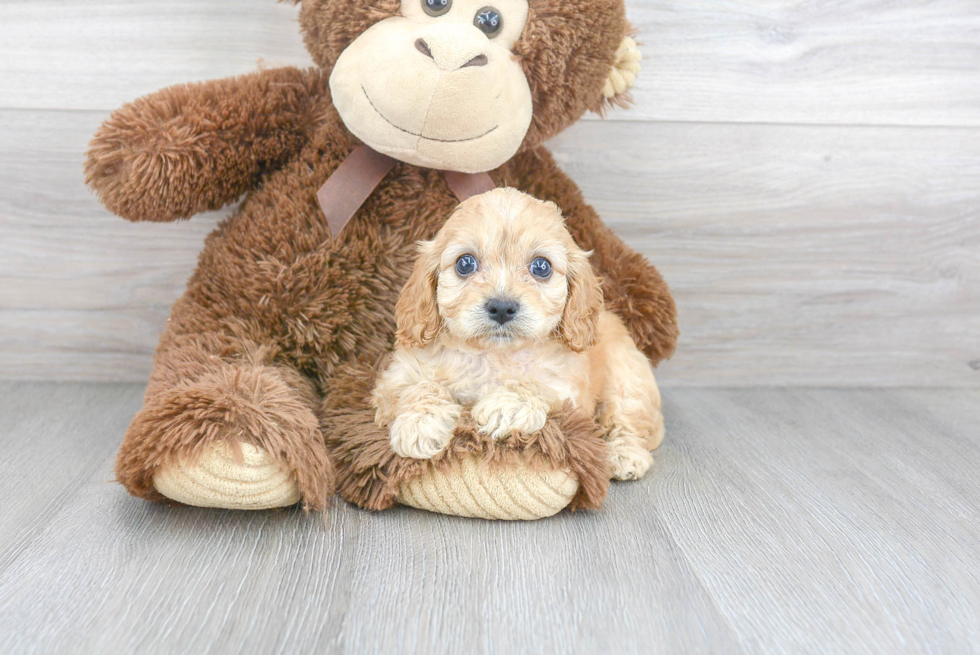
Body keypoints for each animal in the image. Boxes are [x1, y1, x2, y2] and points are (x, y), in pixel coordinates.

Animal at [372, 187, 664, 480]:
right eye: (465, 263)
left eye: (541, 267)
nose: (502, 307)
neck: (493, 355)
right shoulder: (394, 379)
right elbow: (417, 387)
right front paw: (420, 423)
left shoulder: (569, 392)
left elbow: (537, 384)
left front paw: (506, 405)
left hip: (628, 379)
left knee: (631, 422)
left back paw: (625, 455)